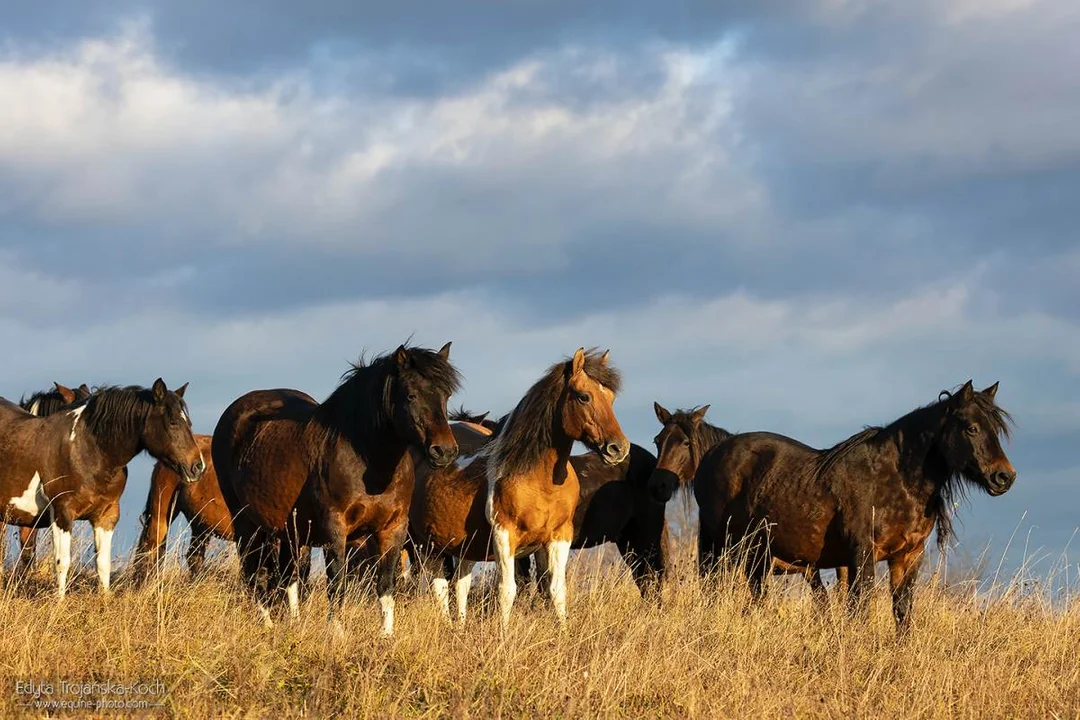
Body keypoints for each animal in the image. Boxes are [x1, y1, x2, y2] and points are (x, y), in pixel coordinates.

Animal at [0, 377, 204, 595]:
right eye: (173, 422)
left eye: (189, 422)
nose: (198, 466)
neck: (88, 450)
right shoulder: (62, 513)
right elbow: (62, 563)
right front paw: (60, 601)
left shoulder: (106, 514)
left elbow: (103, 564)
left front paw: (105, 598)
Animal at [212, 343, 462, 634]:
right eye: (411, 395)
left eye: (446, 395)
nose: (444, 451)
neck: (367, 459)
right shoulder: (335, 528)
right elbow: (337, 583)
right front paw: (337, 633)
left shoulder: (393, 528)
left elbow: (386, 586)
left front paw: (386, 635)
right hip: (245, 523)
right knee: (253, 573)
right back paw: (268, 625)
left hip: (290, 530)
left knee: (288, 577)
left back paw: (294, 624)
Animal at [408, 345, 630, 626]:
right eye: (583, 396)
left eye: (610, 398)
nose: (618, 448)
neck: (539, 479)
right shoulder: (505, 535)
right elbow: (507, 590)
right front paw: (503, 633)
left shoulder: (559, 537)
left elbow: (557, 591)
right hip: (426, 543)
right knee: (439, 587)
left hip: (462, 546)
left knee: (459, 584)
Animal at [695, 382, 1015, 630]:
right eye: (972, 428)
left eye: (997, 430)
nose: (1004, 477)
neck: (895, 478)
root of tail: (712, 455)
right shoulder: (862, 555)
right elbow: (860, 609)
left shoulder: (908, 556)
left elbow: (902, 611)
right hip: (726, 548)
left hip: (757, 555)